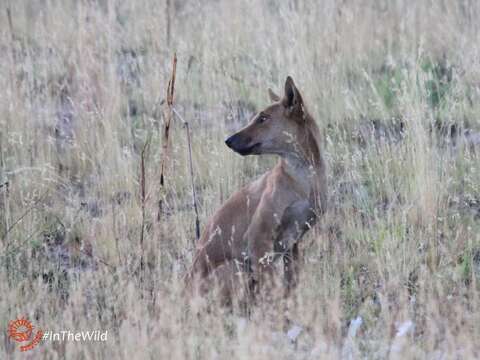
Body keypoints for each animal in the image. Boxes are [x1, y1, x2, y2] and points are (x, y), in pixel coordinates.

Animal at [186, 76, 328, 304]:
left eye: (263, 118)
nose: (228, 141)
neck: (302, 178)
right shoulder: (258, 240)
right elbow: (272, 288)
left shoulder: (292, 243)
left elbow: (291, 284)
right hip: (237, 268)